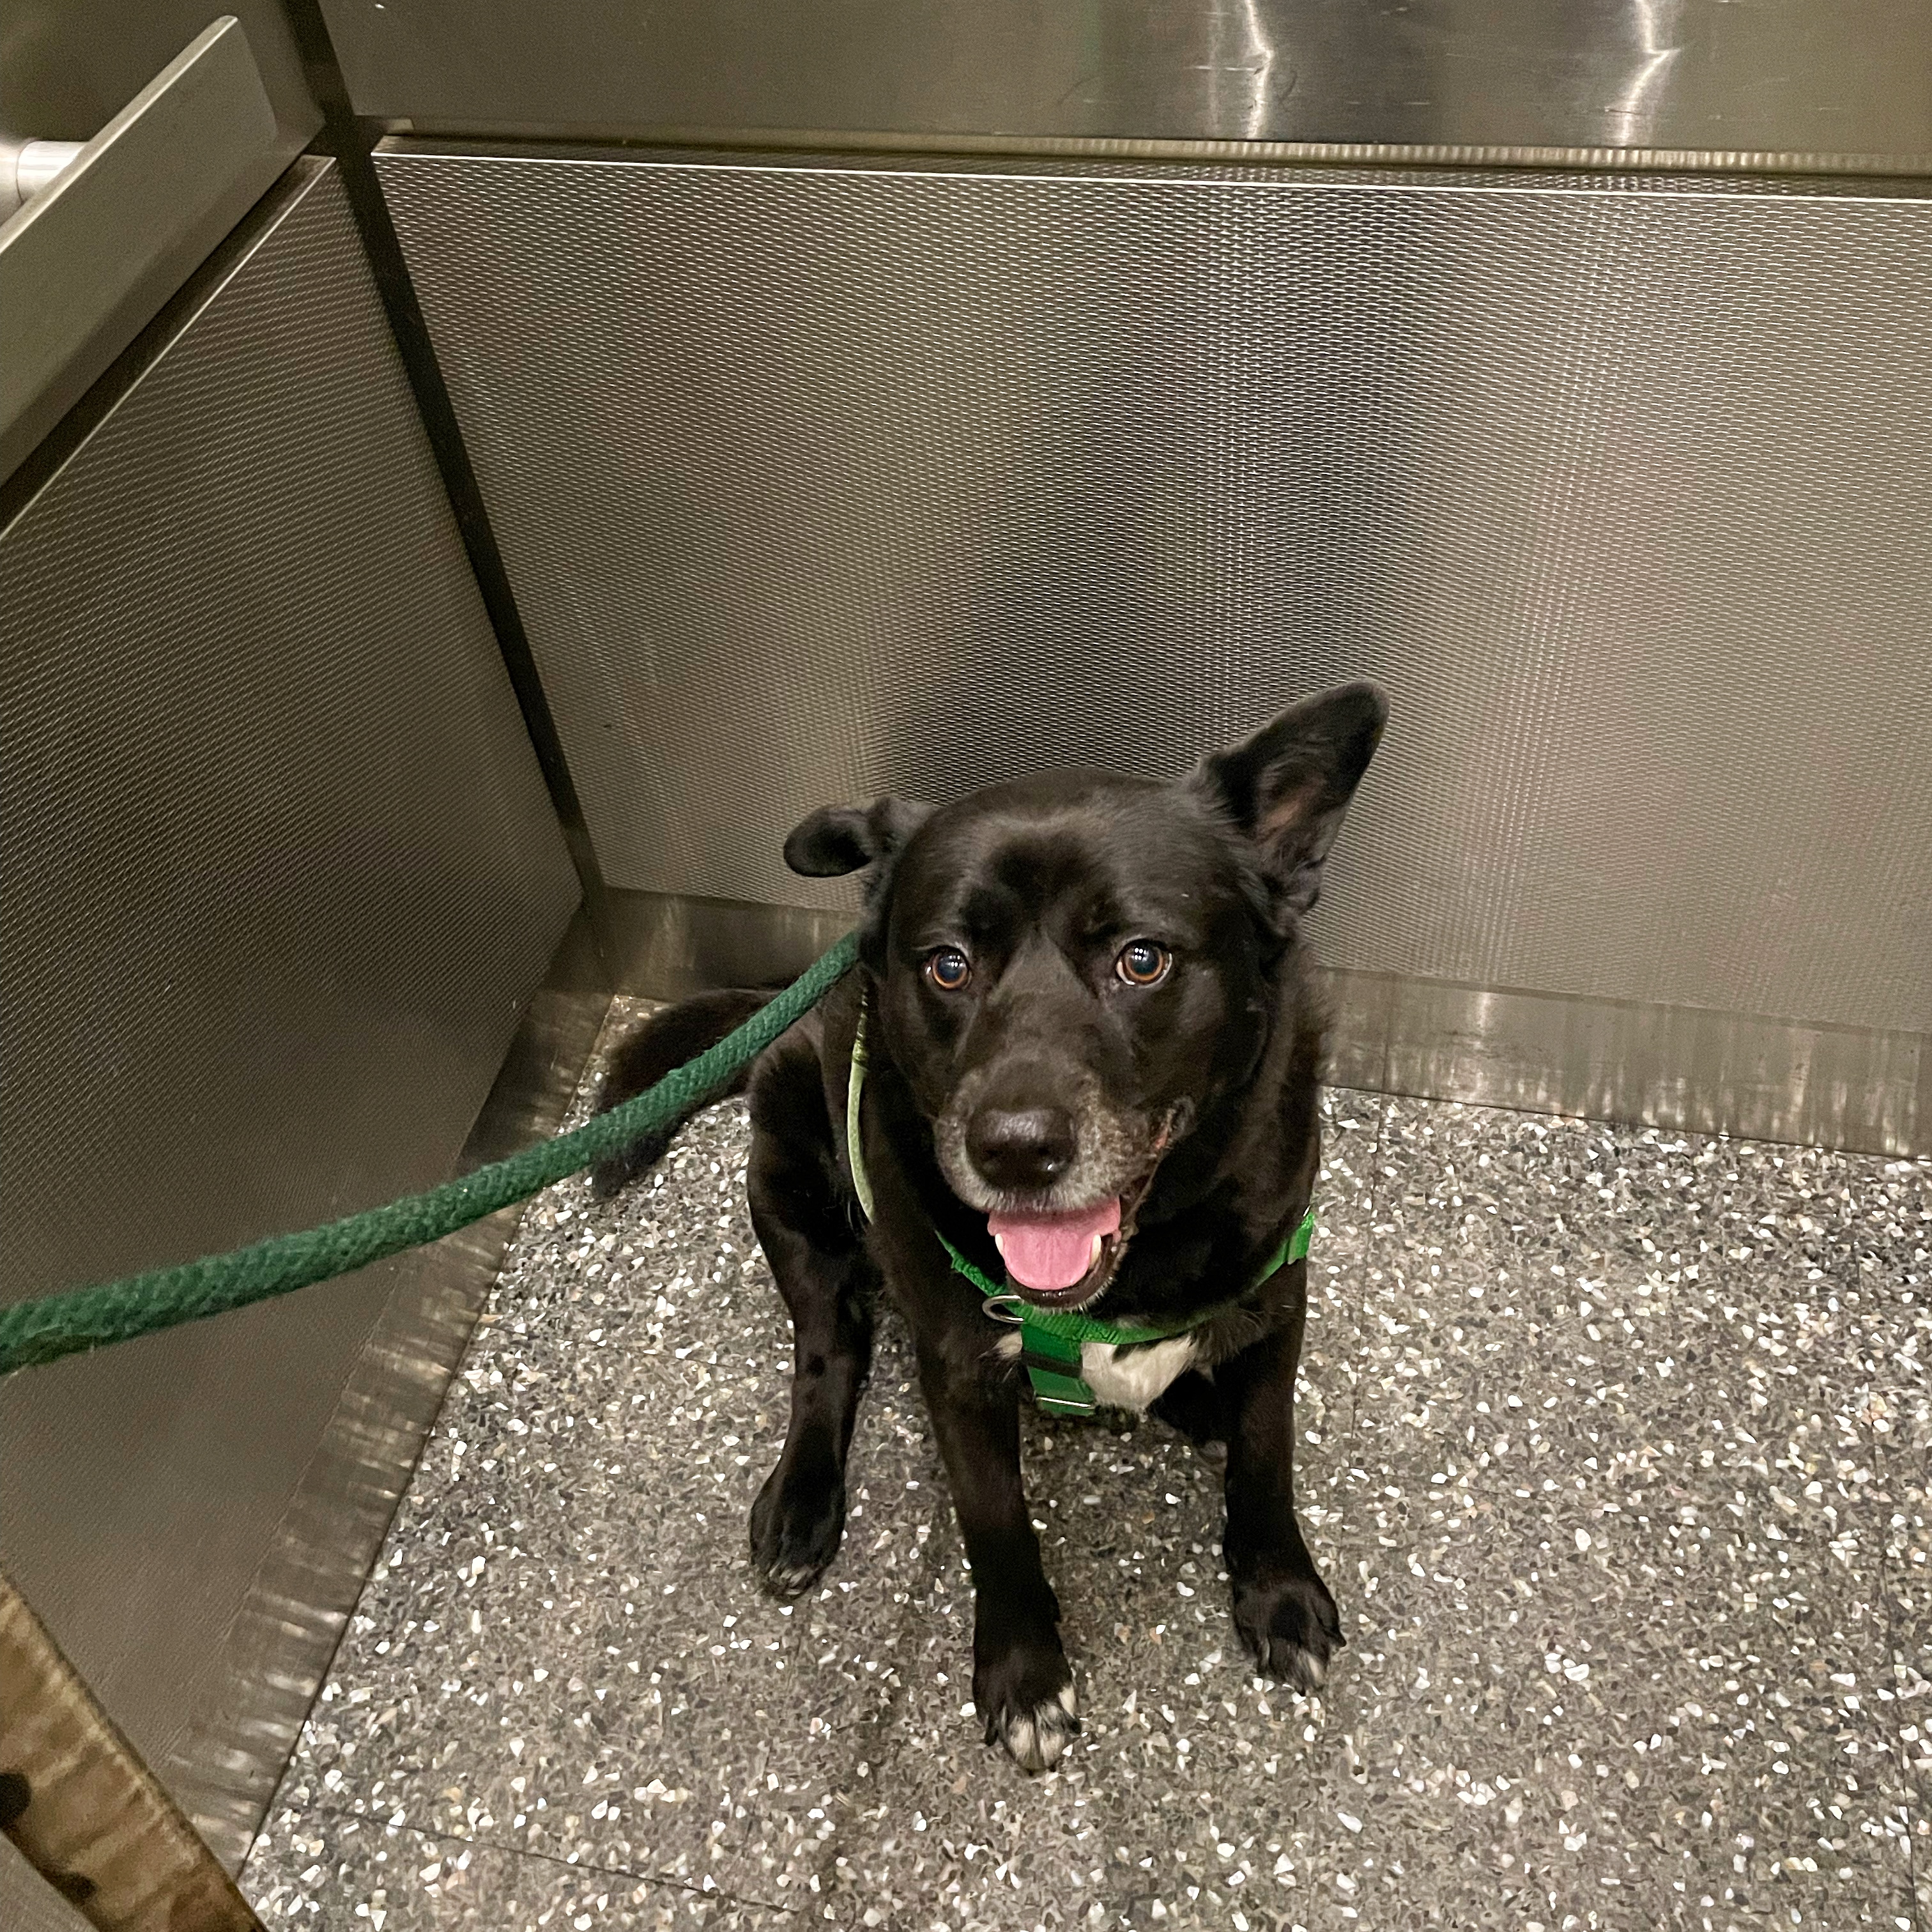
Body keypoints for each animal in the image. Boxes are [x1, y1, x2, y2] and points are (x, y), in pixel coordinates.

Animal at [591, 680, 1391, 1769]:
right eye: (947, 965)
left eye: (1142, 959)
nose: (1013, 1149)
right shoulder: (958, 1366)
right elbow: (994, 1521)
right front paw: (1023, 1673)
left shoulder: (1277, 1300)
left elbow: (1269, 1456)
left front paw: (1277, 1593)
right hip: (788, 1178)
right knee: (827, 1350)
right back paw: (801, 1500)